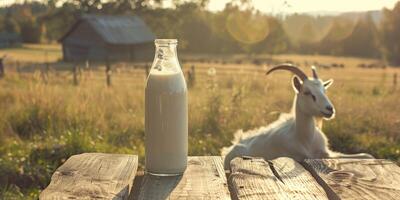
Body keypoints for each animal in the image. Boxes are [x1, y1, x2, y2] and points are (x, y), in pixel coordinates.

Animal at [222, 64, 372, 169]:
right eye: (307, 92)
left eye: (324, 90)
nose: (329, 109)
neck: (304, 139)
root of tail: (233, 146)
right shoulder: (302, 157)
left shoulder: (326, 152)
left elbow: (367, 155)